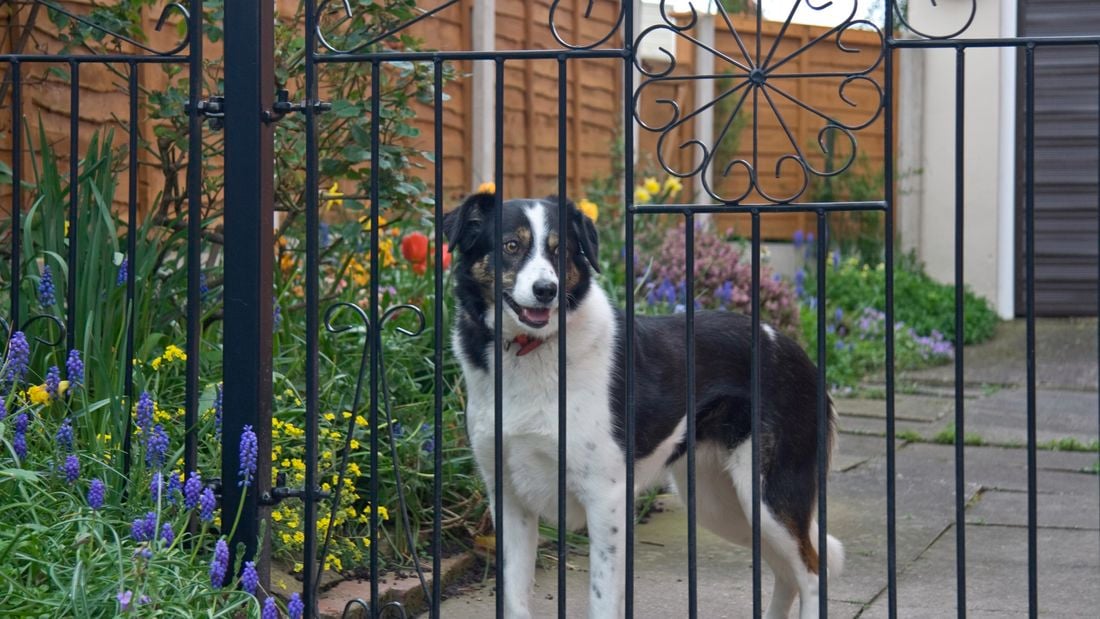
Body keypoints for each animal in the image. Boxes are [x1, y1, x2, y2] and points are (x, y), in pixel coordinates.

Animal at [444, 191, 840, 615]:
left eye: (559, 250)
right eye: (511, 246)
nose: (546, 290)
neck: (530, 350)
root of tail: (798, 353)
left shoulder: (606, 498)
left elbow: (602, 600)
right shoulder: (509, 500)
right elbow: (515, 601)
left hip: (769, 496)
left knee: (813, 572)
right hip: (723, 504)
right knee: (788, 570)